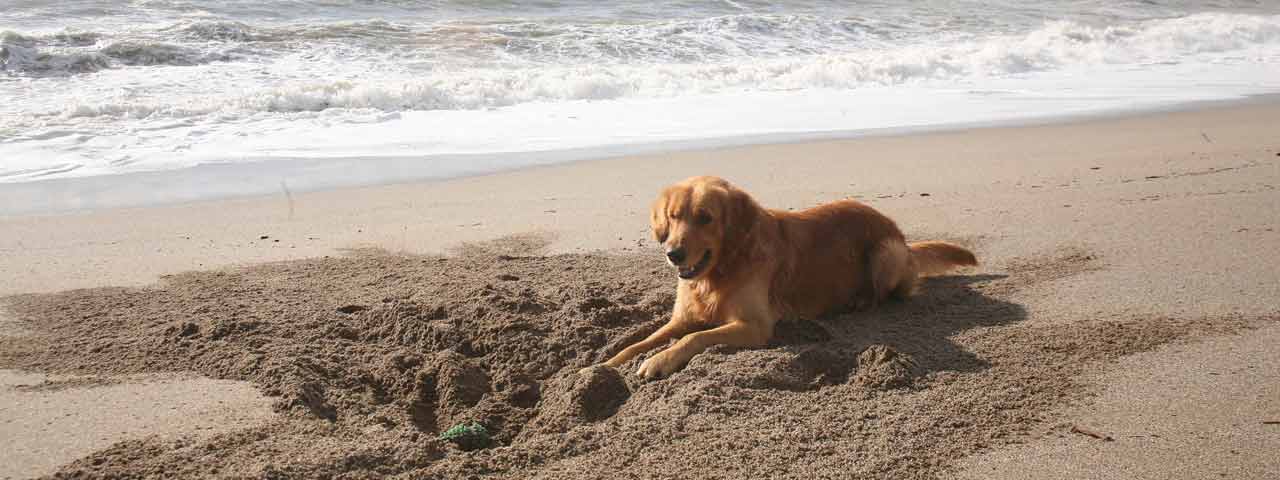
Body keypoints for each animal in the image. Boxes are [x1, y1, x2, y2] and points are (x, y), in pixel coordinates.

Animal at [604, 176, 972, 378]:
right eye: (674, 216)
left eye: (705, 217)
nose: (673, 253)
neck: (721, 270)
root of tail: (902, 237)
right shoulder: (681, 318)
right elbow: (641, 342)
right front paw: (605, 365)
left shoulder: (755, 326)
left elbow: (693, 338)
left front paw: (660, 361)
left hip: (887, 253)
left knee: (889, 294)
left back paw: (859, 300)